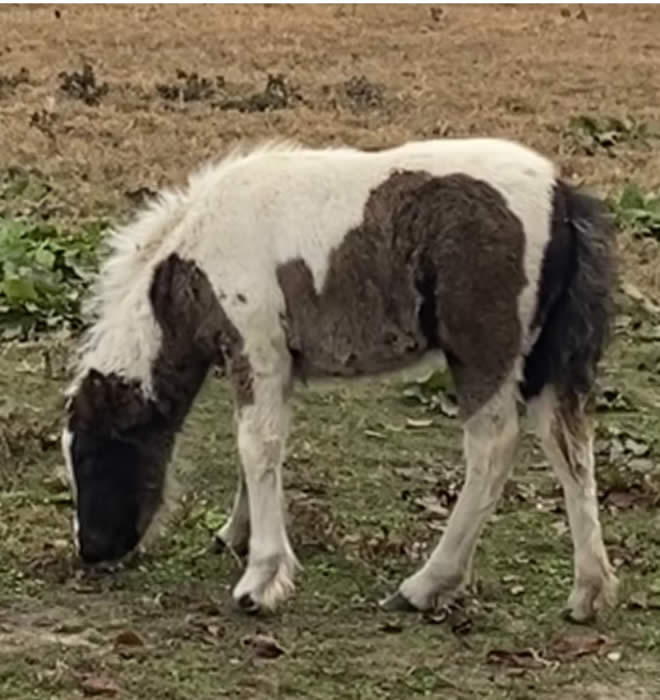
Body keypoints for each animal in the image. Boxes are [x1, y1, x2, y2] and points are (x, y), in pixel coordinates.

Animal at [62, 139, 620, 620]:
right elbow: (257, 448)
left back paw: (425, 586)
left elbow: (257, 446)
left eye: (89, 453)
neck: (199, 254)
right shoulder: (272, 365)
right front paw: (235, 535)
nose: (92, 550)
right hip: (545, 361)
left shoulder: (257, 348)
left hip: (483, 353)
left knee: (493, 450)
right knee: (571, 449)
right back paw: (588, 592)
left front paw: (261, 580)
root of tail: (561, 196)